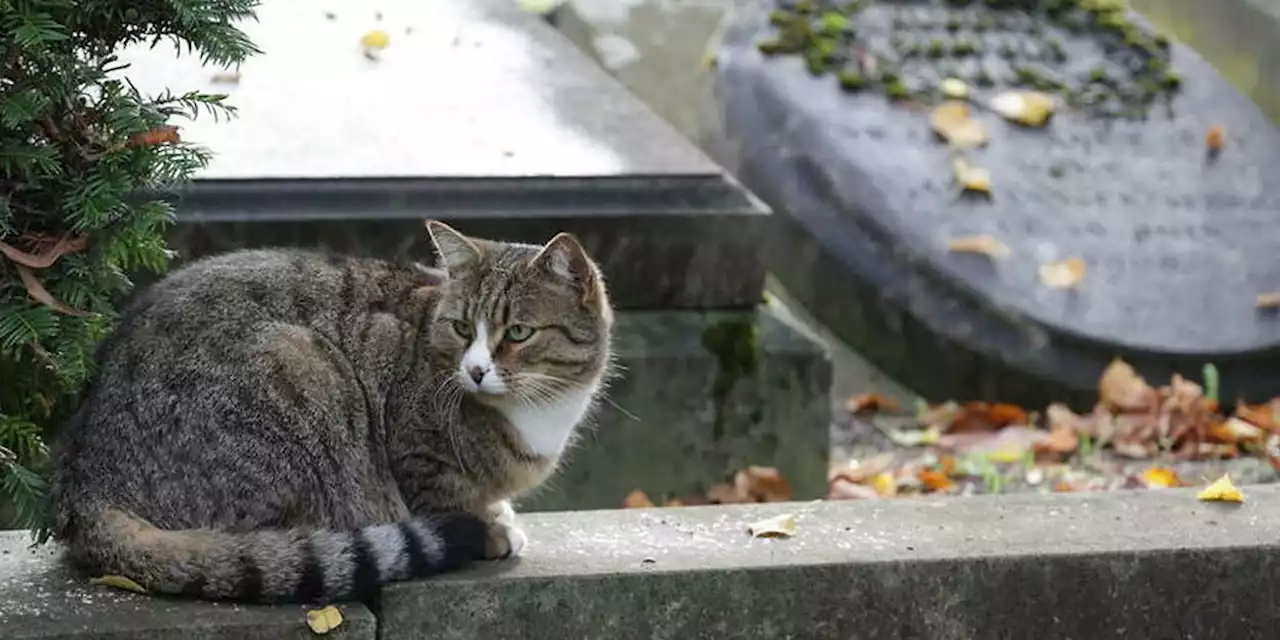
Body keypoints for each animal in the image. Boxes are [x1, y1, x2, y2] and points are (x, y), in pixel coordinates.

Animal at [56, 222, 619, 601]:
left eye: (518, 333)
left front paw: (498, 511)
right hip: (298, 364)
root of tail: (88, 484)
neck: (542, 407)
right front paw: (490, 529)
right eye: (462, 328)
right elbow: (446, 496)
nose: (477, 370)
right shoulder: (416, 448)